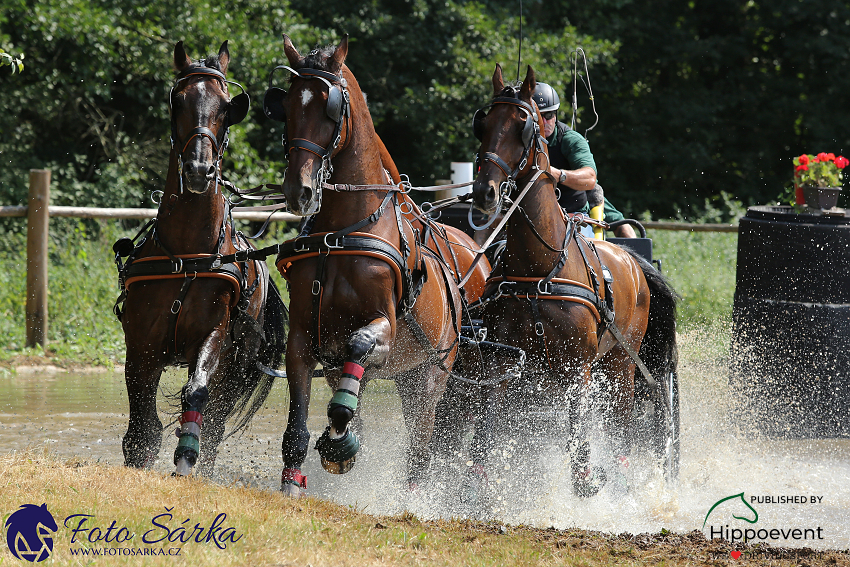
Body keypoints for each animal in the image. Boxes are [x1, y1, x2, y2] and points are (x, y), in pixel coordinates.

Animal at [114, 40, 286, 478]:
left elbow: (196, 394)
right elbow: (142, 425)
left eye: (227, 107)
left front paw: (184, 461)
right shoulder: (140, 344)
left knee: (214, 424)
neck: (187, 253)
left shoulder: (213, 336)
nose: (197, 169)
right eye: (178, 100)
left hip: (234, 366)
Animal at [262, 35, 486, 496]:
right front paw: (294, 484)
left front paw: (340, 439)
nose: (298, 190)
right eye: (286, 106)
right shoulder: (303, 336)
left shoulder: (383, 325)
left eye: (330, 109)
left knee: (421, 448)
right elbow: (297, 427)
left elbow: (359, 347)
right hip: (408, 377)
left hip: (429, 378)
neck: (342, 231)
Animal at [464, 64, 676, 502]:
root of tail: (633, 261)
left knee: (623, 427)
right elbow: (488, 433)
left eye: (523, 125)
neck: (539, 268)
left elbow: (578, 445)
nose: (484, 193)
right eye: (484, 123)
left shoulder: (577, 369)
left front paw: (589, 483)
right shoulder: (505, 364)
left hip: (620, 365)